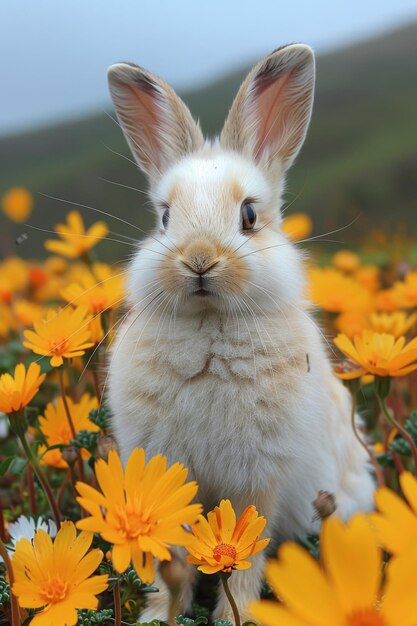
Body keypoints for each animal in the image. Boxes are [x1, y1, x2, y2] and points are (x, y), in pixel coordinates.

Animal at [107, 45, 374, 620]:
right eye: (165, 218)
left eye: (249, 215)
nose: (198, 260)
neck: (209, 327)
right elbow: (170, 553)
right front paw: (158, 614)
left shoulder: (260, 477)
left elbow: (247, 549)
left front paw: (239, 616)